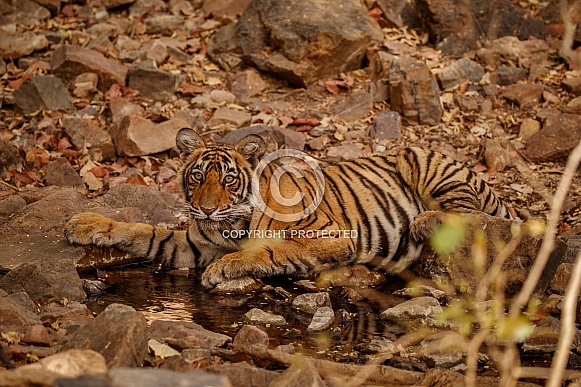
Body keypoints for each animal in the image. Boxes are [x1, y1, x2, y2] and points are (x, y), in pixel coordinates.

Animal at [64, 127, 512, 288]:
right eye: (197, 177)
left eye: (228, 180)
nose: (206, 211)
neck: (228, 226)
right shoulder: (189, 245)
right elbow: (144, 231)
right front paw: (84, 223)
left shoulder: (333, 235)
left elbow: (273, 249)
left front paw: (223, 269)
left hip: (422, 161)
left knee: (475, 218)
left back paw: (423, 221)